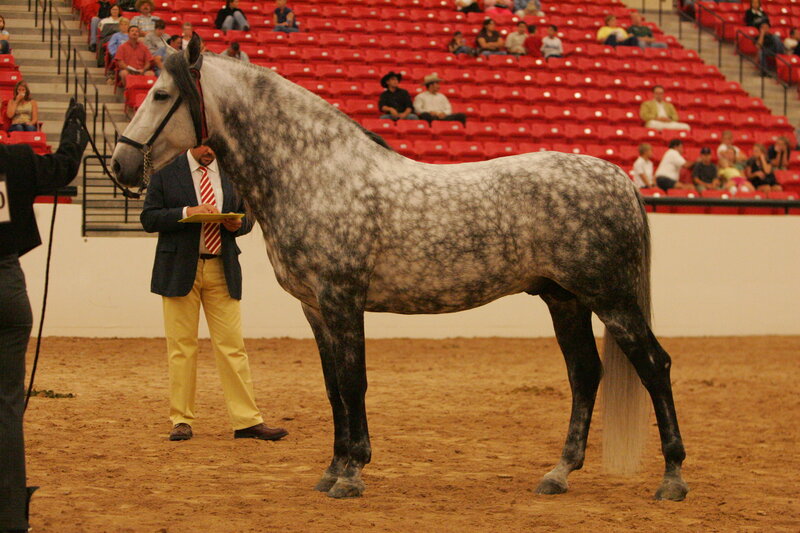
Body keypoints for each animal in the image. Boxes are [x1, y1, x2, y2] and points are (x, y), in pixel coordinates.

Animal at [111, 38, 688, 501]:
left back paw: (672, 479)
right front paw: (332, 470)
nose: (120, 164)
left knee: (654, 366)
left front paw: (351, 476)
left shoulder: (343, 301)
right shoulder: (316, 310)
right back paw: (558, 474)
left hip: (612, 300)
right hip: (564, 300)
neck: (318, 174)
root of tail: (616, 176)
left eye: (160, 95)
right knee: (585, 374)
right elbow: (333, 389)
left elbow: (354, 383)